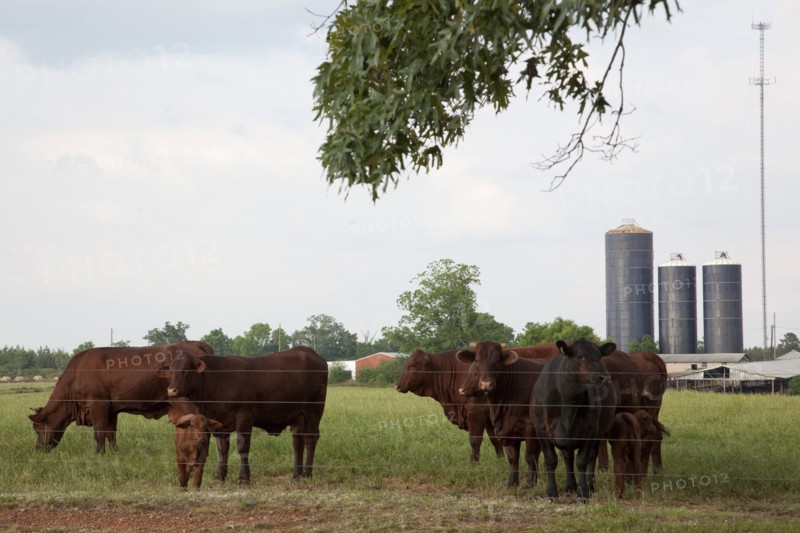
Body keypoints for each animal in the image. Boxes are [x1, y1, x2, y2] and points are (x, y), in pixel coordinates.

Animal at [29, 341, 214, 453]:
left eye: (37, 428)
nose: (38, 449)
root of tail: (194, 343)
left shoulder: (98, 405)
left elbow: (99, 432)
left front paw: (99, 454)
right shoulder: (111, 410)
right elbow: (110, 433)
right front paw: (114, 453)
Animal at [156, 346, 328, 484]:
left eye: (186, 369)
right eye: (171, 370)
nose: (172, 390)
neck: (217, 380)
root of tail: (310, 352)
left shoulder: (244, 417)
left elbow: (242, 447)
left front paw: (244, 478)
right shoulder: (218, 423)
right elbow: (222, 450)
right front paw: (220, 477)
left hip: (314, 411)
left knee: (311, 439)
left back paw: (307, 473)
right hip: (297, 416)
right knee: (298, 442)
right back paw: (296, 474)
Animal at [456, 342, 545, 488]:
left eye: (497, 361)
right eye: (477, 360)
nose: (486, 384)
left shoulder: (531, 429)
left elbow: (530, 457)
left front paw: (530, 484)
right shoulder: (507, 429)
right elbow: (513, 458)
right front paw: (511, 484)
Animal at [530, 339, 617, 501]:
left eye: (599, 356)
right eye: (580, 356)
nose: (604, 378)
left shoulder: (590, 431)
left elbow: (582, 461)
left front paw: (583, 492)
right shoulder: (541, 430)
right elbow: (551, 460)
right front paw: (551, 492)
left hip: (599, 432)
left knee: (591, 456)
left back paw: (589, 484)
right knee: (568, 457)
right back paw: (570, 485)